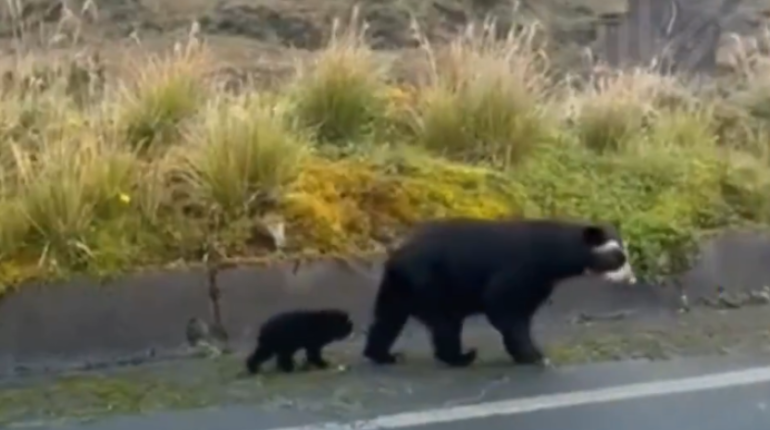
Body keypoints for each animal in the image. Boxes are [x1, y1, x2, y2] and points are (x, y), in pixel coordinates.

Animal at [362, 217, 636, 368]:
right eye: (618, 258)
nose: (631, 279)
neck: (554, 256)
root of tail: (396, 255)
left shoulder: (540, 281)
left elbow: (522, 309)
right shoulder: (522, 268)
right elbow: (503, 305)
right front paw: (534, 355)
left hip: (399, 286)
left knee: (387, 319)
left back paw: (383, 354)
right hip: (431, 282)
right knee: (445, 323)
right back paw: (461, 356)